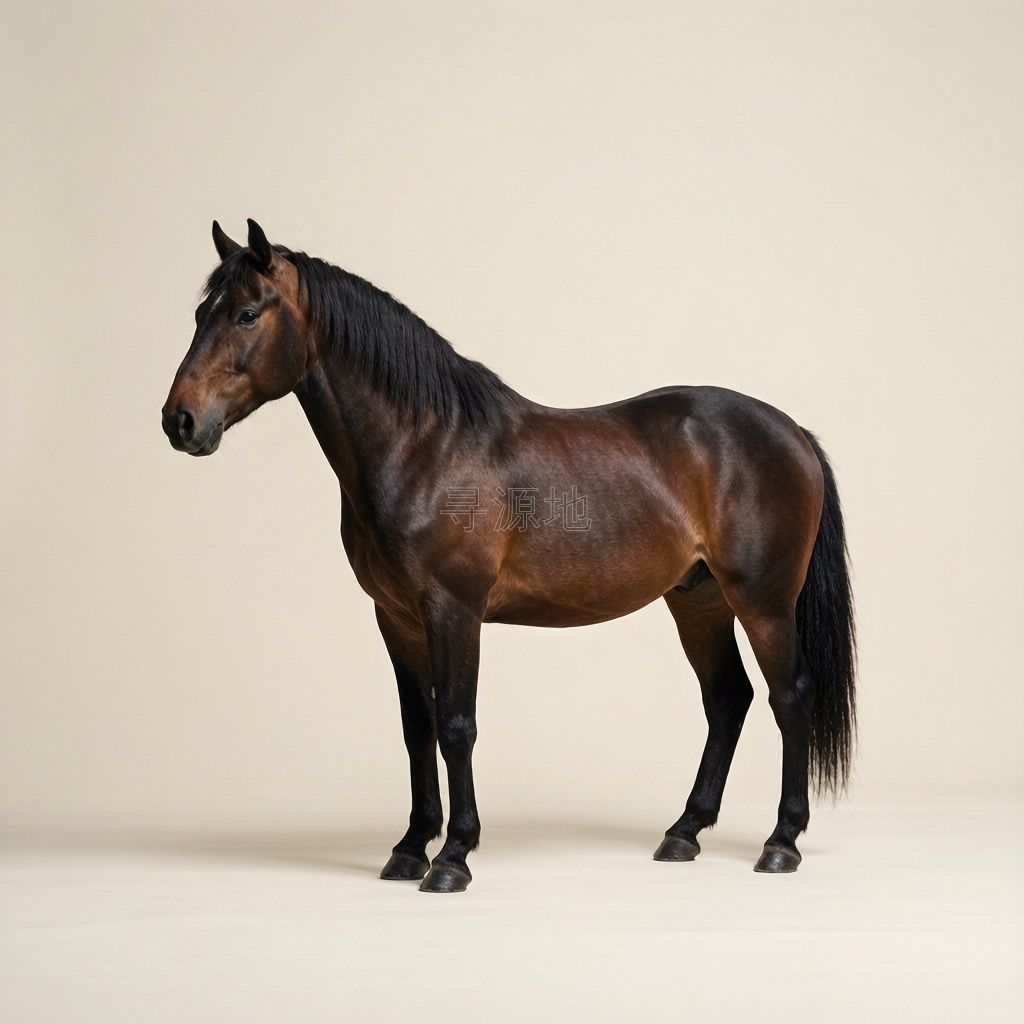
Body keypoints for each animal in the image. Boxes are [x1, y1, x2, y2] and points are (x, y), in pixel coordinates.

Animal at [162, 219, 856, 893]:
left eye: (248, 313)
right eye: (200, 313)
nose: (180, 421)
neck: (424, 446)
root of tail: (790, 431)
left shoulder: (454, 609)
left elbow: (456, 725)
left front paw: (453, 857)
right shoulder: (396, 617)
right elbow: (417, 728)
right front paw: (410, 848)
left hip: (763, 602)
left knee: (789, 696)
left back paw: (780, 843)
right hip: (699, 601)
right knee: (728, 699)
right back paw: (683, 833)